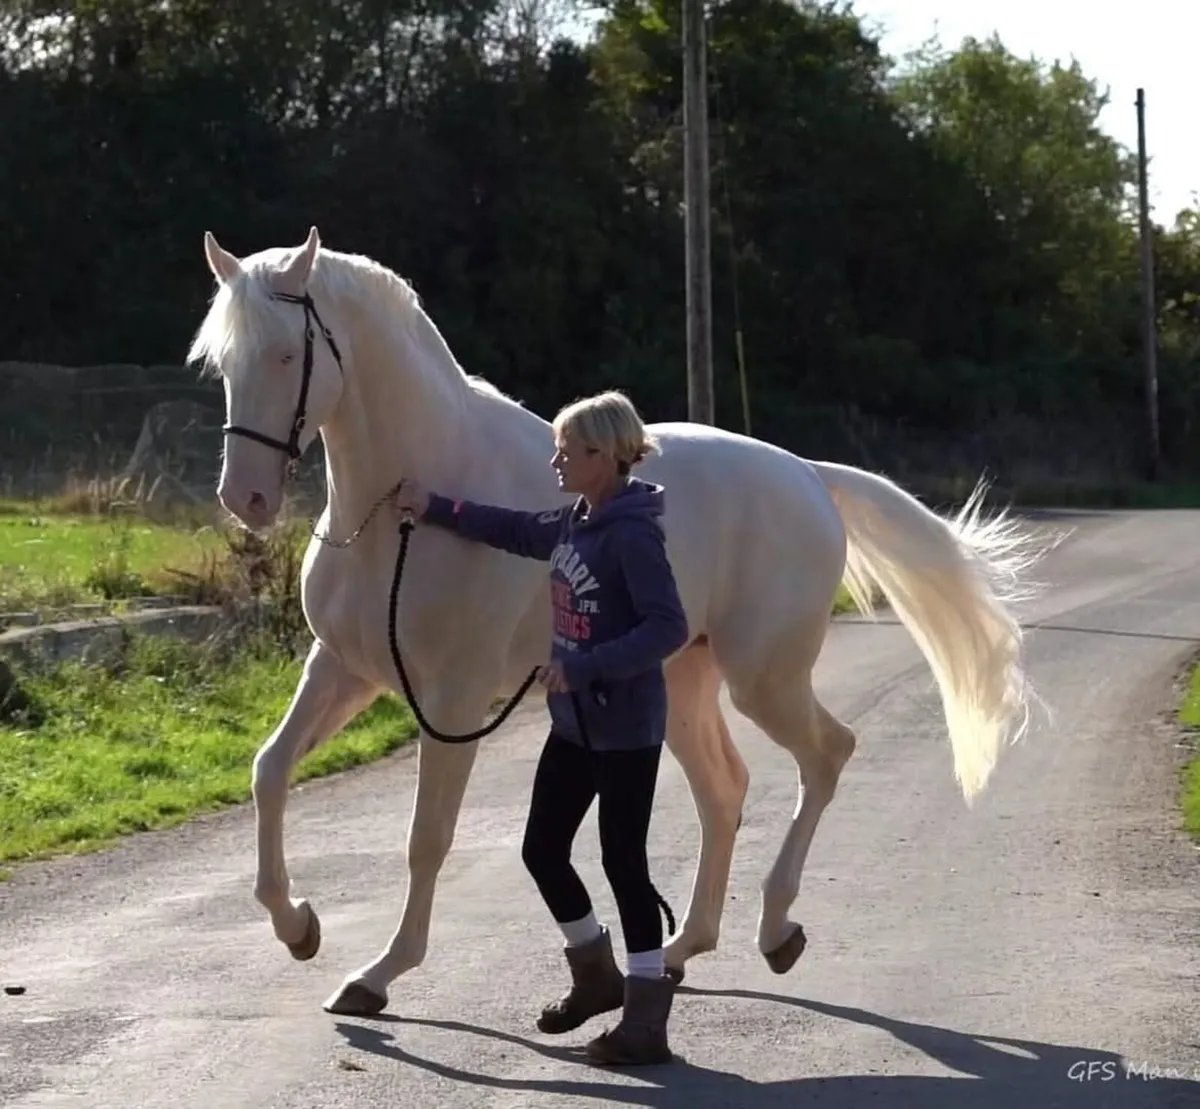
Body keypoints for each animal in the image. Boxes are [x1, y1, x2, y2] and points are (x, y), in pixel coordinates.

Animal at [186, 225, 1042, 1017]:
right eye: (224, 364)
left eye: (286, 356)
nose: (246, 499)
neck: (400, 507)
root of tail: (806, 473)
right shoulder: (344, 670)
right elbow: (269, 770)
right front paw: (297, 925)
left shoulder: (452, 699)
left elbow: (427, 838)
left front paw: (377, 973)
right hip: (684, 681)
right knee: (725, 790)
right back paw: (680, 948)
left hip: (765, 679)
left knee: (827, 755)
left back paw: (775, 930)